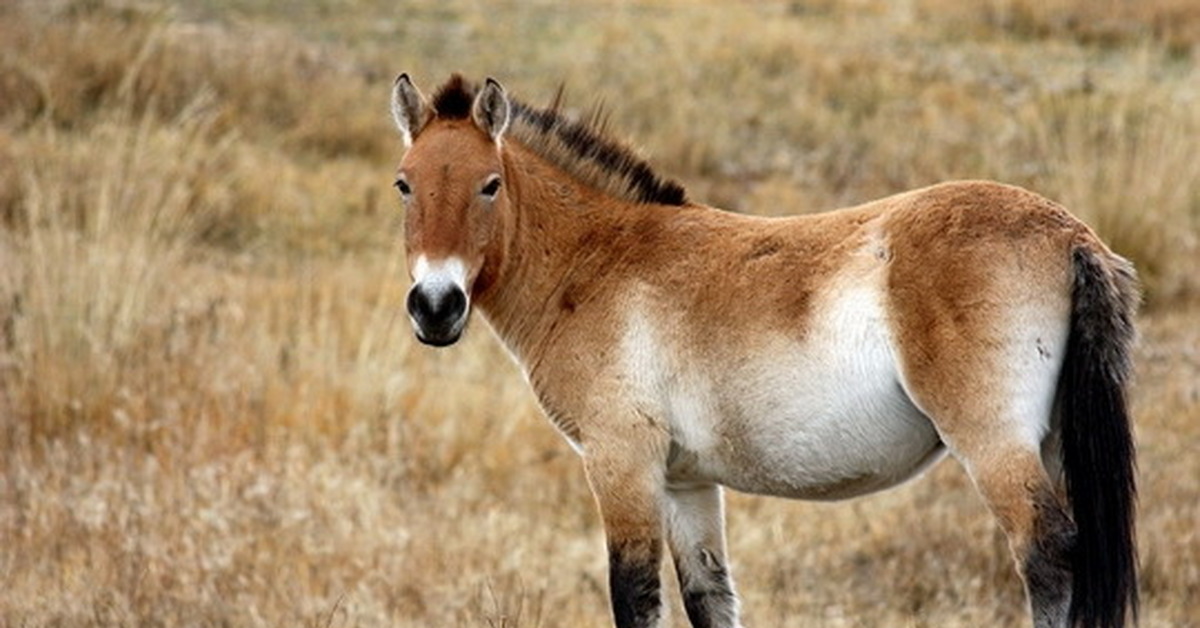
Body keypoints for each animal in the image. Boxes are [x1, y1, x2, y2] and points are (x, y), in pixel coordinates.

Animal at [388, 75, 1137, 628]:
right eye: (404, 183)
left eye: (489, 184)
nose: (435, 307)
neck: (597, 263)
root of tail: (1071, 234)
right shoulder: (686, 483)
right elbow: (709, 597)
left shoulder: (620, 464)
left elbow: (635, 597)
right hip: (1052, 442)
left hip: (994, 445)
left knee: (1048, 555)